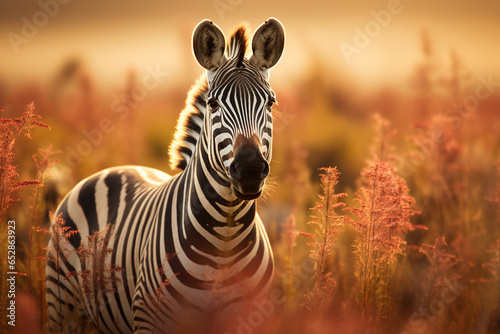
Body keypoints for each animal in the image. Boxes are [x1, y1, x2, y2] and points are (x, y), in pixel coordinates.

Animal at [46, 18, 286, 334]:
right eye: (213, 104)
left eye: (270, 103)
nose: (249, 170)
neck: (225, 237)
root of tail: (111, 170)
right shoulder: (151, 319)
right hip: (62, 305)